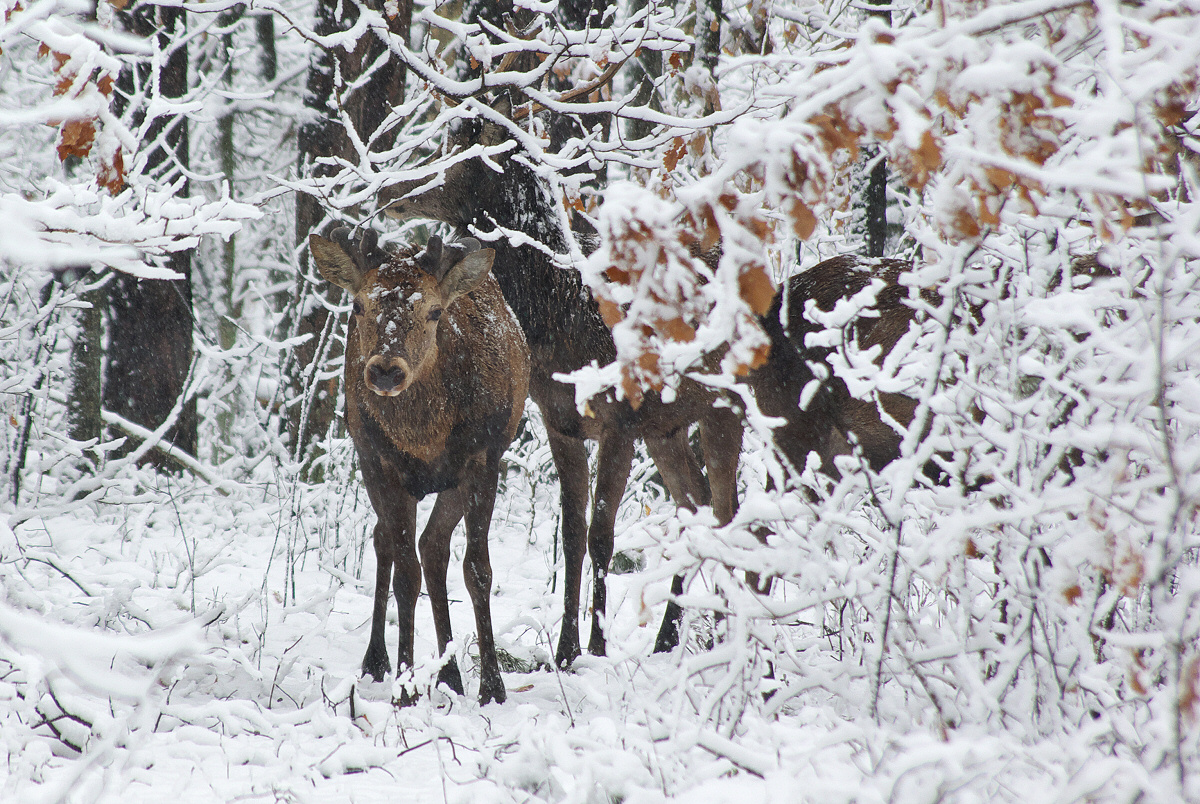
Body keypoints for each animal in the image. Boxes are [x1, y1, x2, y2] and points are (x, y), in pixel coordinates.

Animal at [309, 228, 530, 705]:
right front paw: (405, 688)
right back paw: (379, 660)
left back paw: (451, 676)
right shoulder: (380, 463)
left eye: (433, 311)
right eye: (359, 305)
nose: (386, 371)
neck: (424, 439)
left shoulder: (484, 459)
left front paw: (493, 687)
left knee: (433, 547)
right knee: (388, 542)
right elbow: (405, 574)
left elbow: (477, 570)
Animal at [379, 120, 744, 672]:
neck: (560, 316)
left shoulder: (621, 420)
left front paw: (597, 646)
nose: (388, 190)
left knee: (727, 509)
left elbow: (601, 536)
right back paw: (669, 637)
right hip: (667, 428)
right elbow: (571, 534)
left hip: (725, 407)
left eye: (458, 151)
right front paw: (566, 648)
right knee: (695, 505)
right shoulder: (561, 421)